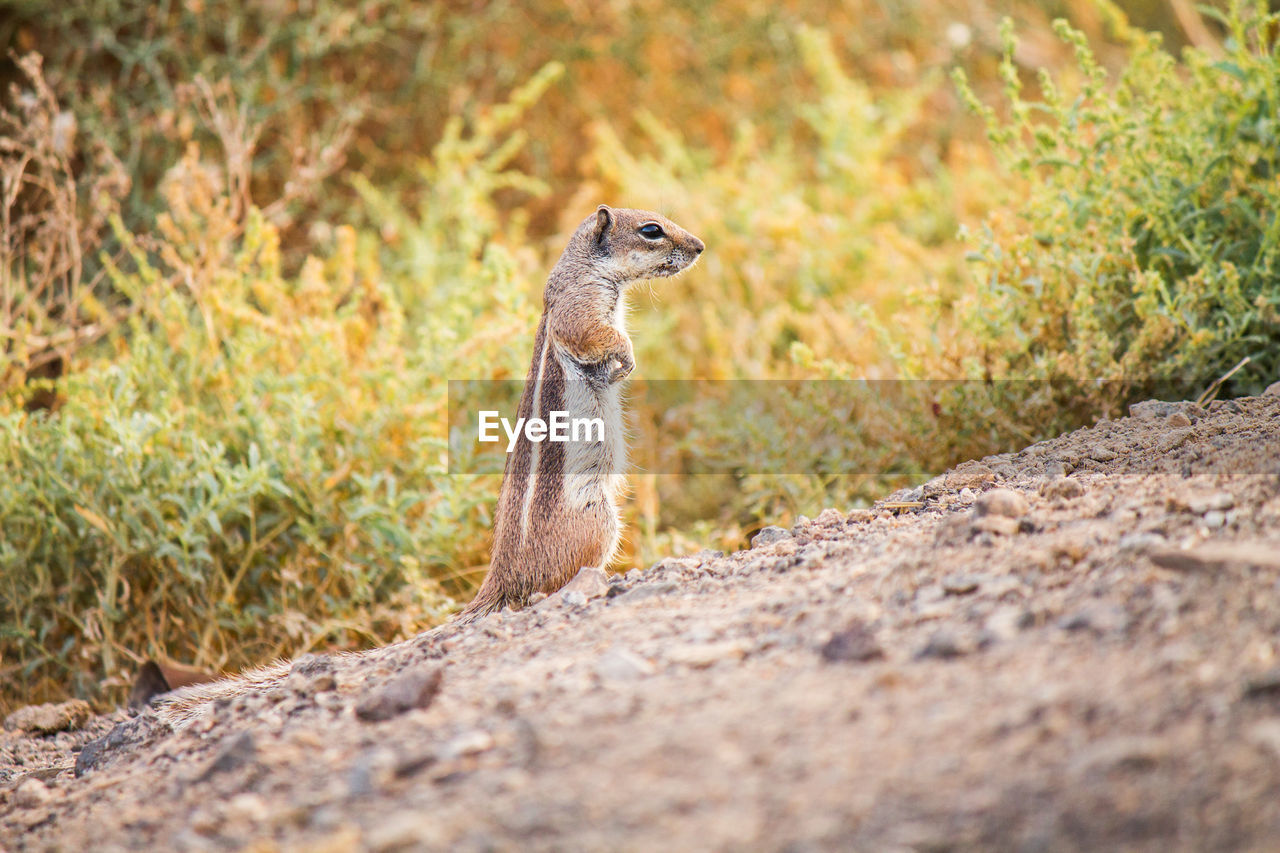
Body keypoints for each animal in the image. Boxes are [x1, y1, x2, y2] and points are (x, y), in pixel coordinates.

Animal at [154, 204, 706, 722]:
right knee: (552, 586)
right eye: (651, 230)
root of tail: (503, 576)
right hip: (597, 519)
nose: (700, 247)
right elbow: (595, 337)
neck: (586, 267)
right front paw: (626, 358)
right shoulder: (580, 307)